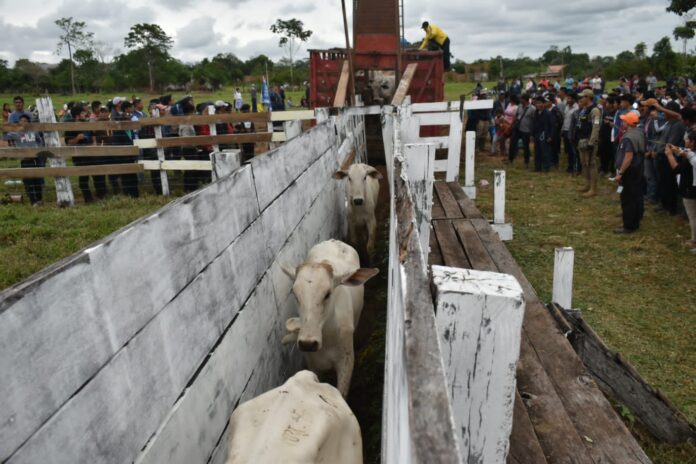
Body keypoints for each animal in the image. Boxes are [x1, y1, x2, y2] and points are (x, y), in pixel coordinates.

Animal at [280, 241, 378, 396]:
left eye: (327, 294)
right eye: (294, 294)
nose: (308, 343)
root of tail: (334, 241)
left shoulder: (346, 362)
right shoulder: (312, 363)